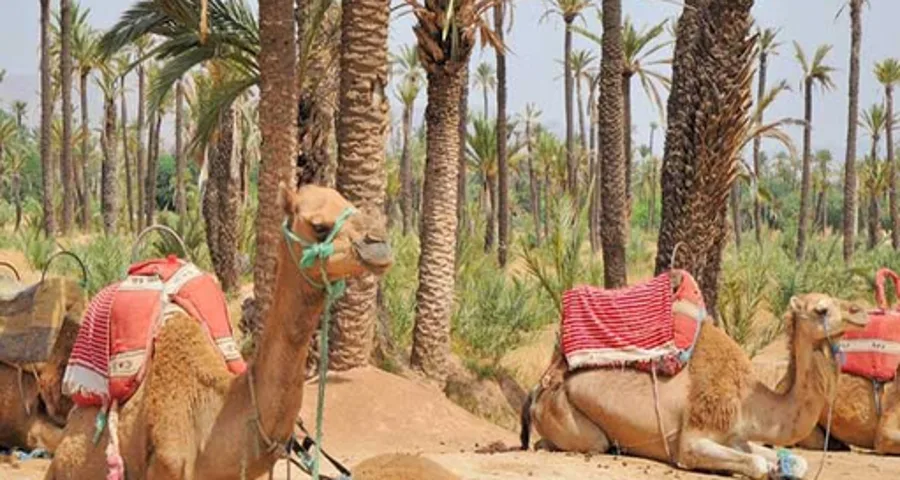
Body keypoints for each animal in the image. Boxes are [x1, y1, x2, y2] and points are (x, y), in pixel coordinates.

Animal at [521, 292, 869, 479]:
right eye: (822, 309)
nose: (861, 312)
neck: (749, 401)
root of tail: (539, 389)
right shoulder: (692, 440)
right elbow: (755, 462)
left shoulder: (736, 436)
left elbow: (797, 461)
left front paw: (781, 467)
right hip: (572, 419)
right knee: (581, 442)